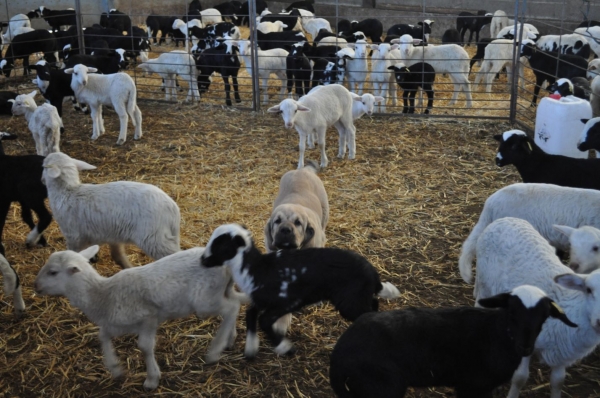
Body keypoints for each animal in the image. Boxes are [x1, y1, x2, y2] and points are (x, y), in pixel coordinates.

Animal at [34, 246, 248, 388]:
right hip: (220, 291)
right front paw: (115, 368)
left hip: (205, 300)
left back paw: (215, 351)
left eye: (53, 272)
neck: (103, 295)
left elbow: (144, 346)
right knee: (235, 304)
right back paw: (230, 339)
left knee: (231, 308)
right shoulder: (115, 324)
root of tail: (226, 265)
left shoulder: (148, 317)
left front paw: (151, 379)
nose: (36, 286)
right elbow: (102, 337)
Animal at [42, 152, 179, 268]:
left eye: (43, 166)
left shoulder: (73, 236)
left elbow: (74, 253)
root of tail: (172, 208)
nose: (42, 180)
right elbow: (117, 255)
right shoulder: (113, 236)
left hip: (154, 238)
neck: (68, 191)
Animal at [199, 224, 400, 358]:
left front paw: (285, 348)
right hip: (356, 297)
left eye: (220, 245)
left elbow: (264, 321)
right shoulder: (261, 299)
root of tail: (373, 274)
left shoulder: (287, 301)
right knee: (373, 303)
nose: (203, 260)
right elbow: (250, 314)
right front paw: (251, 349)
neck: (256, 268)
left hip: (349, 302)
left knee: (367, 311)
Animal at [472, 218, 600, 398]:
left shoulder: (562, 351)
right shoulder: (527, 340)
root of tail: (504, 219)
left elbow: (558, 381)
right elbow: (520, 377)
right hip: (484, 282)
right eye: (588, 290)